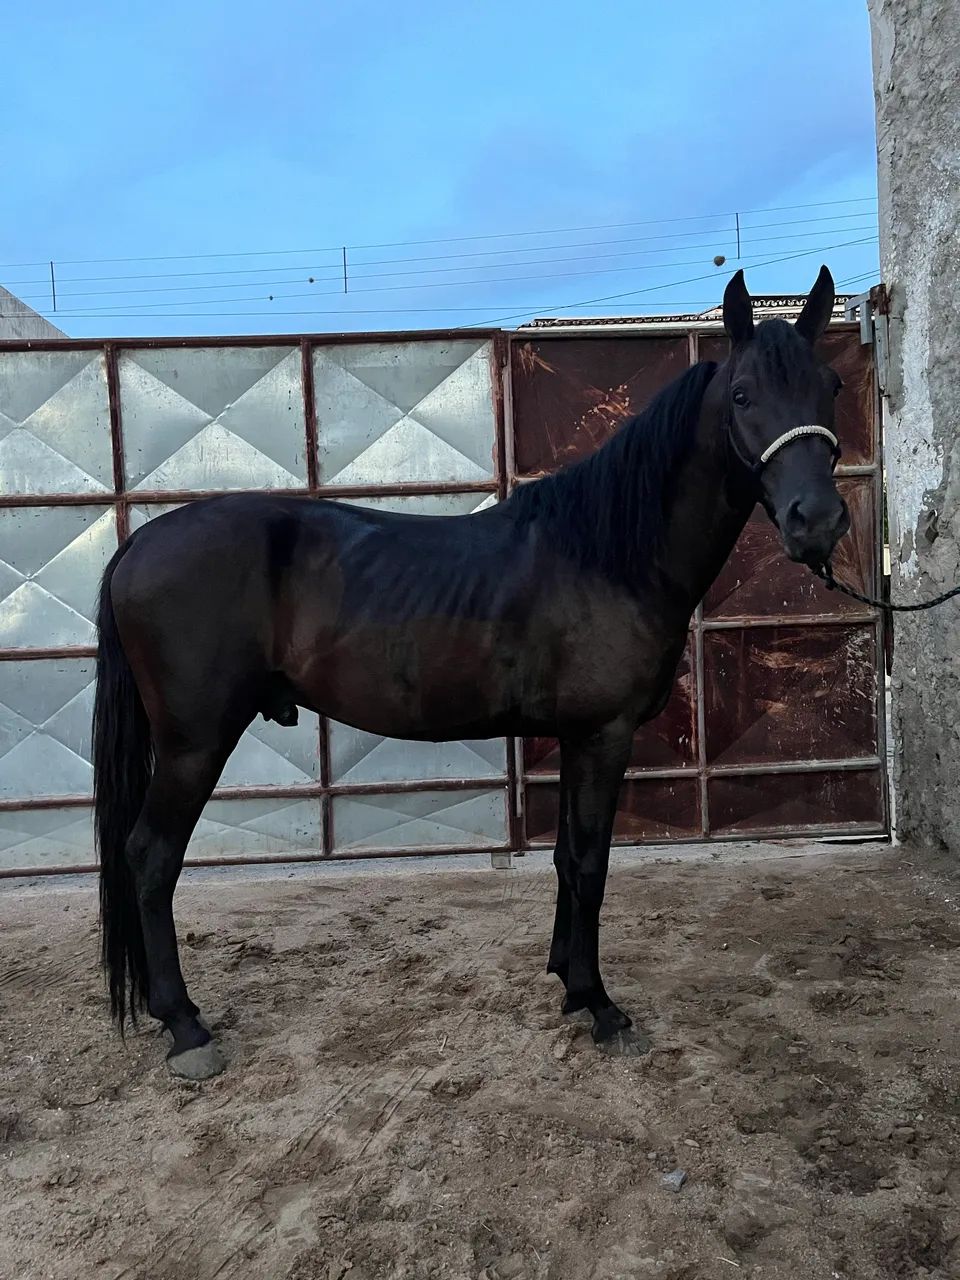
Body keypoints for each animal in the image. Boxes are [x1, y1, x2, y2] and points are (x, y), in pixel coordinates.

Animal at [92, 267, 849, 1079]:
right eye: (742, 395)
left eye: (831, 385)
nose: (817, 522)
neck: (607, 554)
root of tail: (139, 545)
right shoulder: (603, 735)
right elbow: (591, 863)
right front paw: (600, 1005)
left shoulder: (573, 738)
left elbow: (565, 858)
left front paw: (567, 981)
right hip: (193, 744)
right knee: (151, 857)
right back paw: (186, 1027)